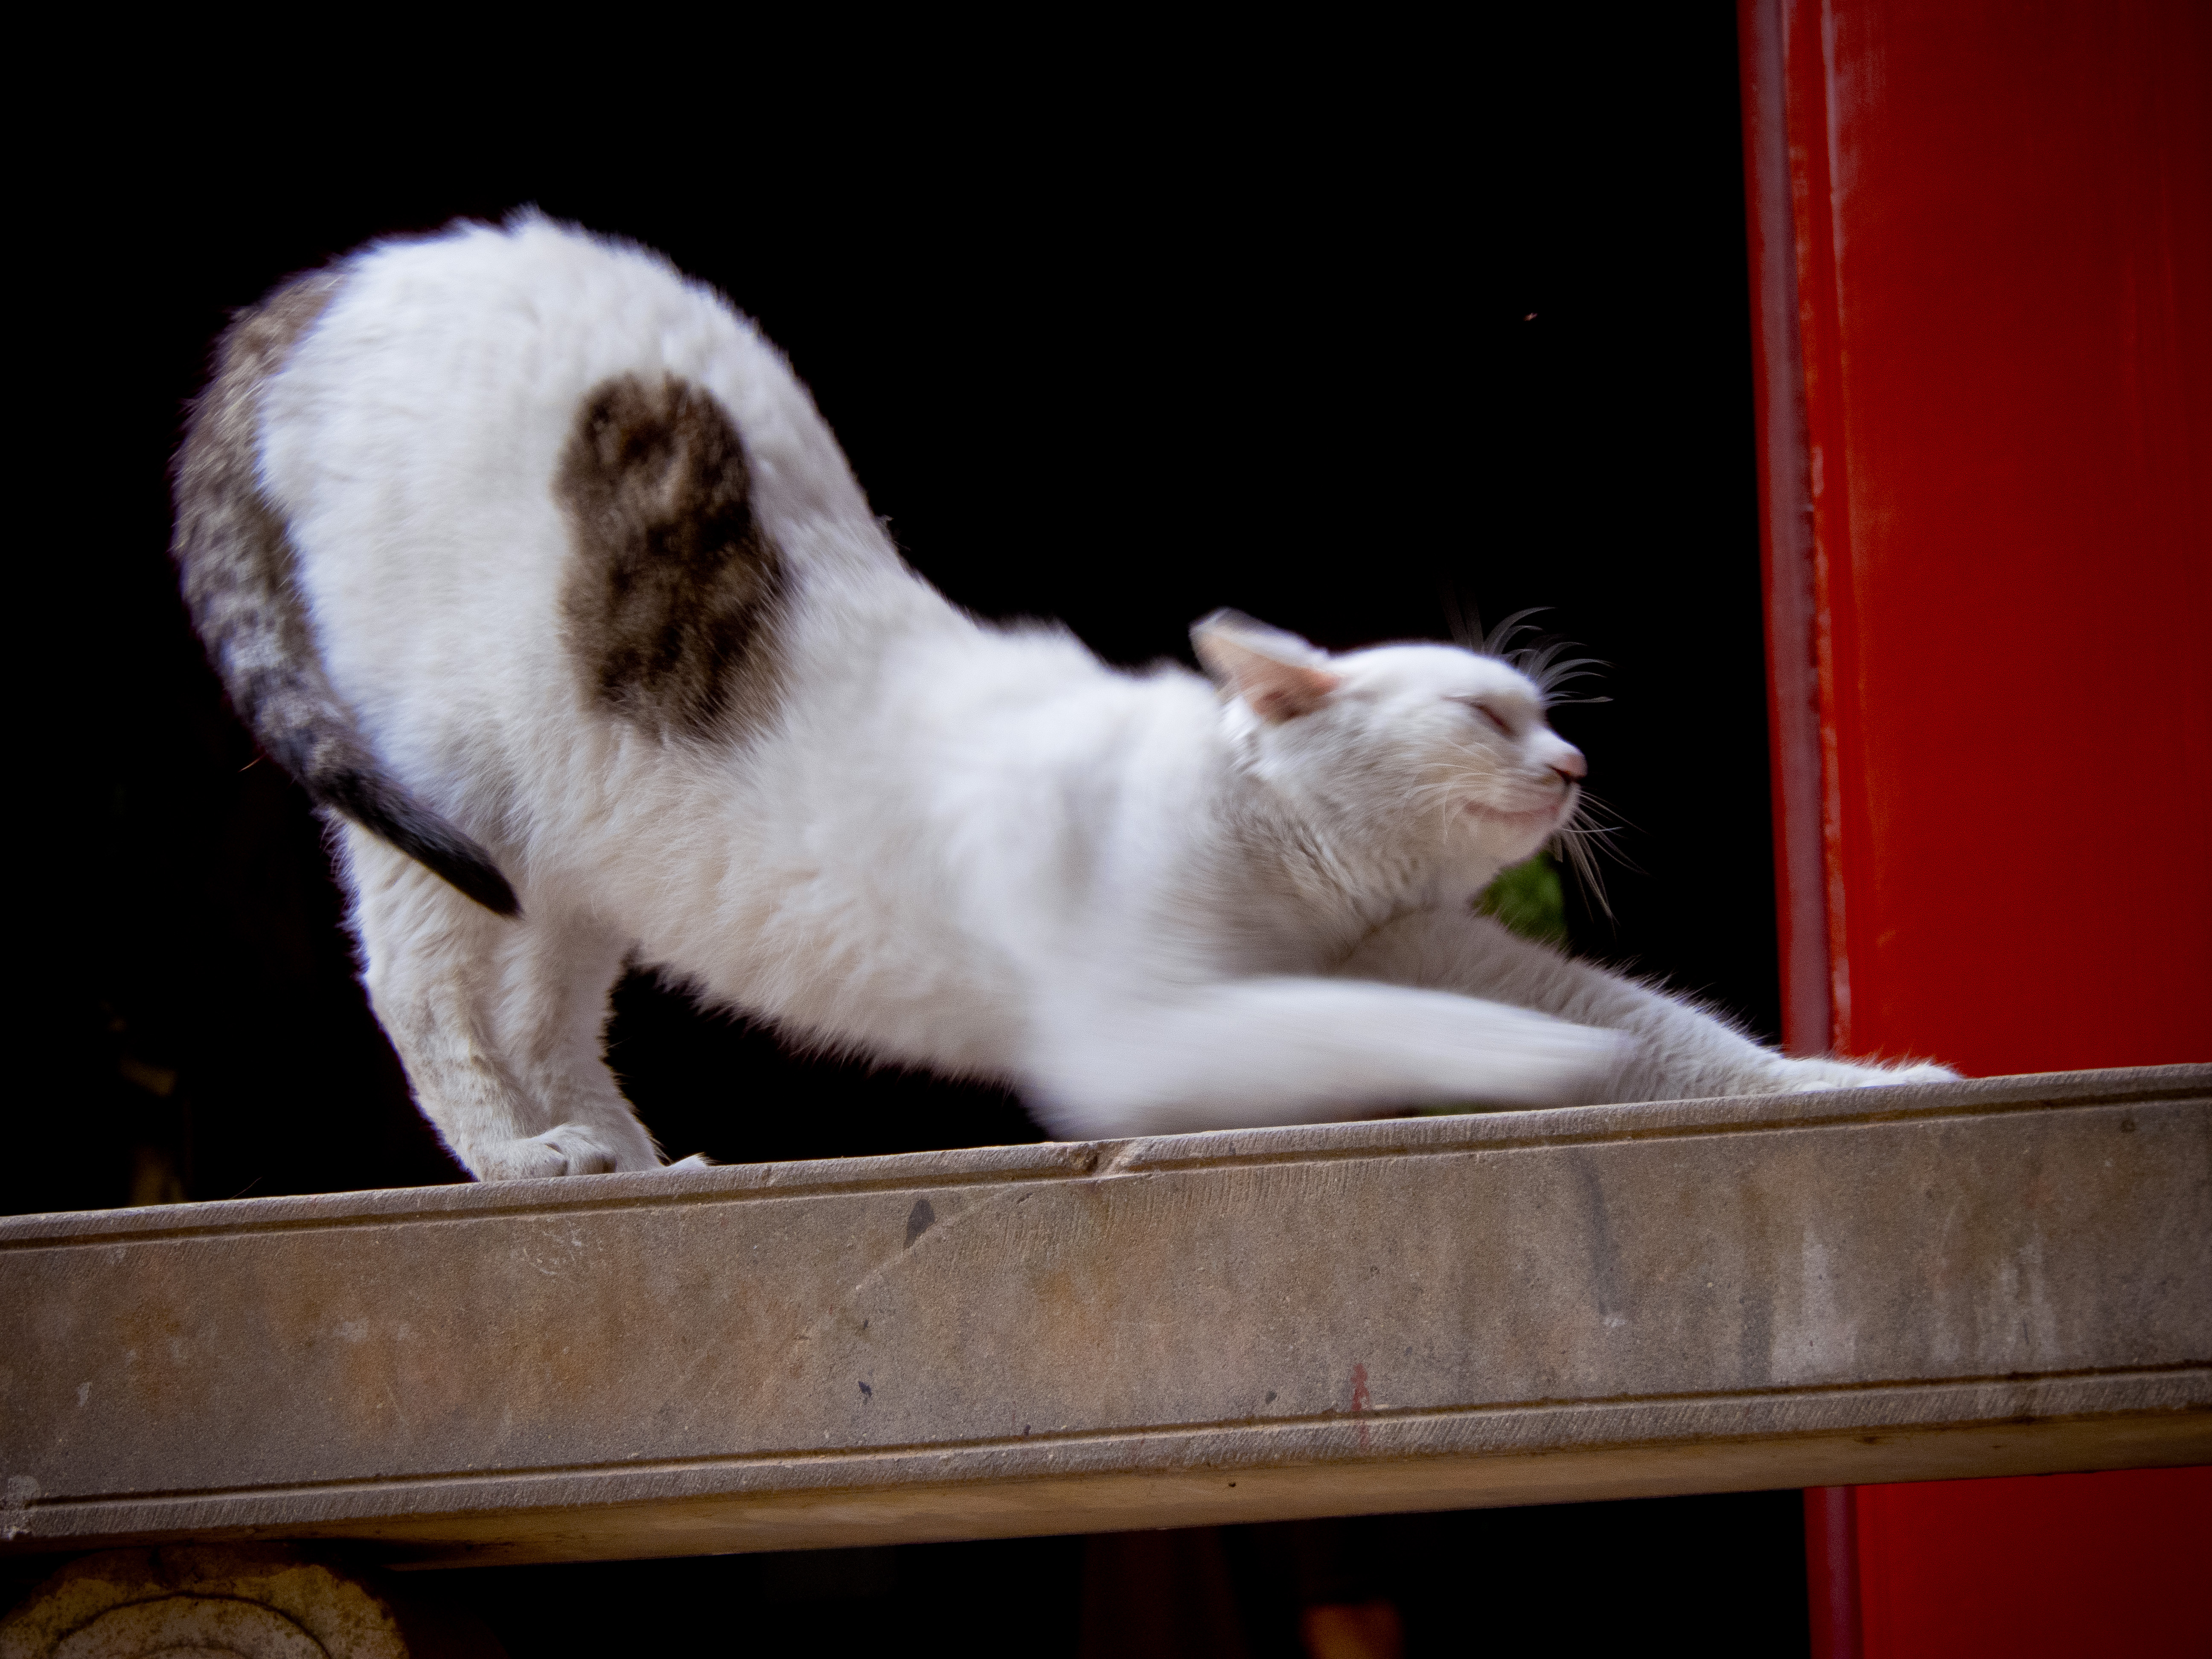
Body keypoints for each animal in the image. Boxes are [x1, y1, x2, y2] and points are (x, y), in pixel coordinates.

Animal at [172, 214, 1946, 1185]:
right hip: (452, 803)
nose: (1573, 763)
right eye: (1483, 716)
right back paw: (519, 1154)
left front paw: (1879, 1089)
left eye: (1546, 710)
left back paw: (621, 1158)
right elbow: (1399, 1028)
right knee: (428, 1000)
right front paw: (1517, 1065)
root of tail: (355, 273)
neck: (1279, 872)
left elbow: (1693, 1045)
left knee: (549, 1016)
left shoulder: (1417, 948)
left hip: (578, 864)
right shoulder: (1136, 1030)